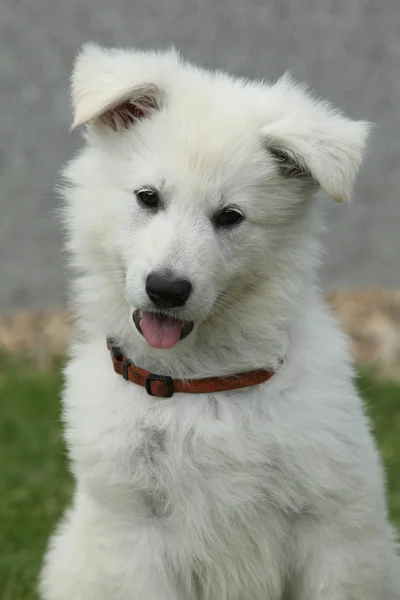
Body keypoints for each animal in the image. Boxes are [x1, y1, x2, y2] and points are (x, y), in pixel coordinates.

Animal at [39, 44, 400, 596]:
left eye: (230, 217)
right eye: (148, 197)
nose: (166, 289)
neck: (202, 384)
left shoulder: (333, 524)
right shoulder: (131, 526)